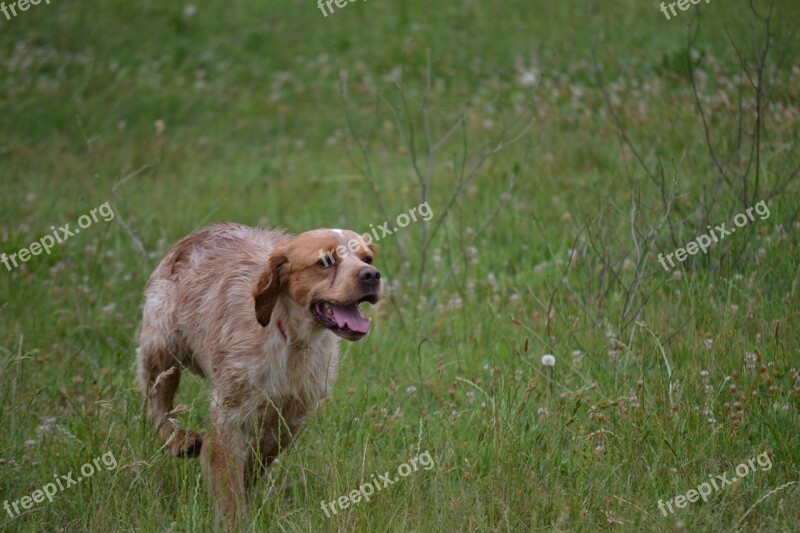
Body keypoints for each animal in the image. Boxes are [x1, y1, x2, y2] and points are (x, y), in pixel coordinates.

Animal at [135, 222, 382, 516]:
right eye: (325, 261)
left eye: (368, 258)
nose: (372, 275)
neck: (291, 340)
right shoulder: (229, 414)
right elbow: (229, 486)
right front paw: (234, 515)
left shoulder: (292, 412)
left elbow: (261, 455)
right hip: (161, 350)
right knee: (156, 403)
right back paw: (180, 441)